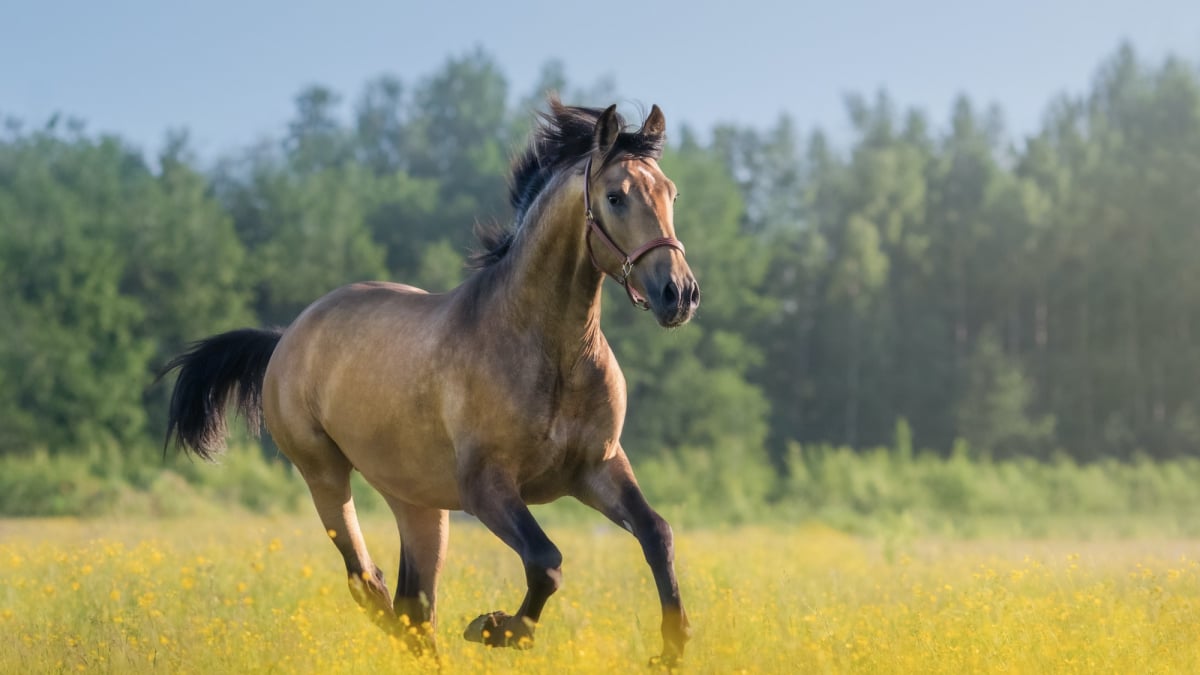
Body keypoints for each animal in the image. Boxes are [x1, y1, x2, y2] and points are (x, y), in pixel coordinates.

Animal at [164, 98, 700, 662]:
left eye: (670, 193)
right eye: (615, 197)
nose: (679, 294)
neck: (553, 354)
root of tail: (287, 336)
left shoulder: (599, 467)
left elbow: (657, 534)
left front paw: (671, 647)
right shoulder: (486, 487)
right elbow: (546, 562)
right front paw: (496, 627)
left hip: (417, 502)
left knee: (414, 604)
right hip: (325, 474)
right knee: (369, 582)